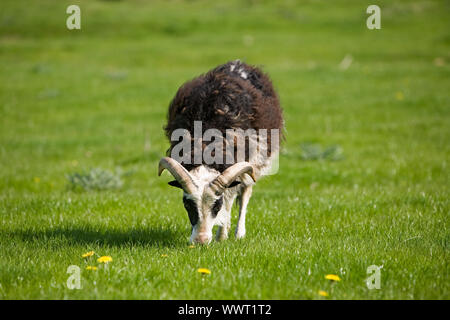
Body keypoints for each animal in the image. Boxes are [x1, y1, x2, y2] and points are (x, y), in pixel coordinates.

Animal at [160, 60, 284, 244]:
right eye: (187, 204)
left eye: (216, 205)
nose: (201, 241)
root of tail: (238, 63)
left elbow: (229, 198)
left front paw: (222, 236)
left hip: (254, 162)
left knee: (245, 193)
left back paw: (239, 233)